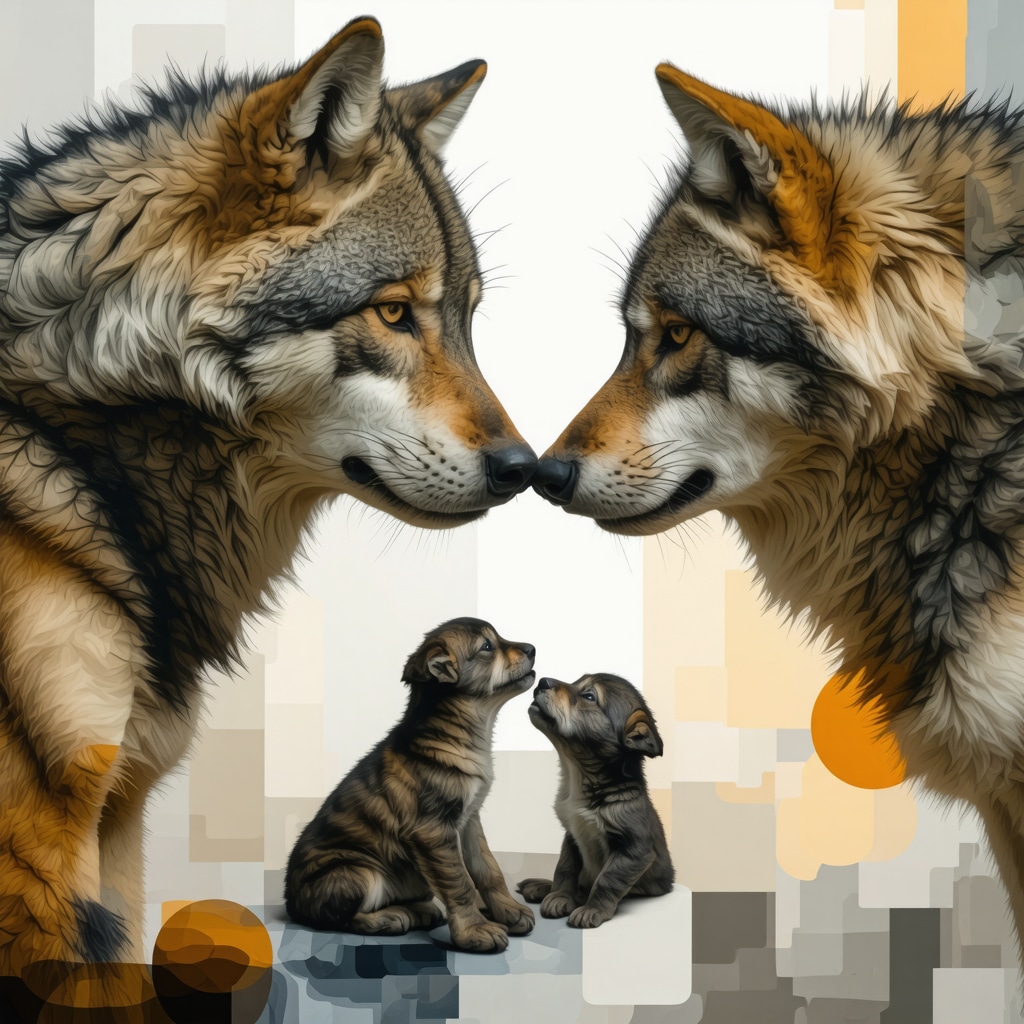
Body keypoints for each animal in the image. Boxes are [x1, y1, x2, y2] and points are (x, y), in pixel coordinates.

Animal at [0, 16, 535, 975]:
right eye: (393, 313)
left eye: (467, 318)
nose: (525, 467)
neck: (77, 445)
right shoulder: (42, 845)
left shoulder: (116, 816)